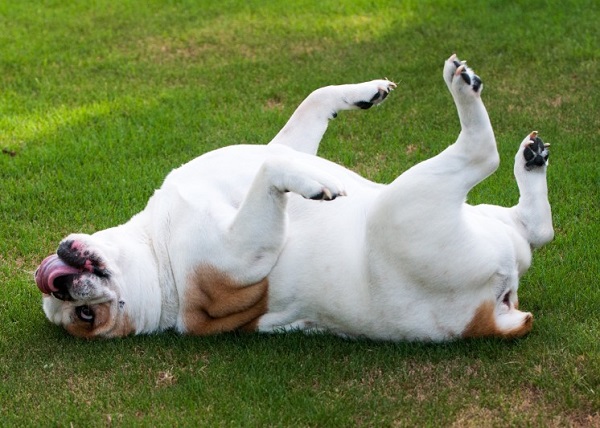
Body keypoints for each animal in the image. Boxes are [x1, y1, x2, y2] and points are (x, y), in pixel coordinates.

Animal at [35, 54, 553, 341]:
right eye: (85, 316)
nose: (58, 286)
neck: (157, 253)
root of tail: (494, 314)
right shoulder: (239, 257)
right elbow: (274, 170)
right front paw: (312, 184)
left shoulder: (286, 142)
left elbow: (312, 102)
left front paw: (366, 92)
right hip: (407, 205)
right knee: (482, 154)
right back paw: (462, 86)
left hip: (486, 219)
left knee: (536, 225)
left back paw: (530, 159)